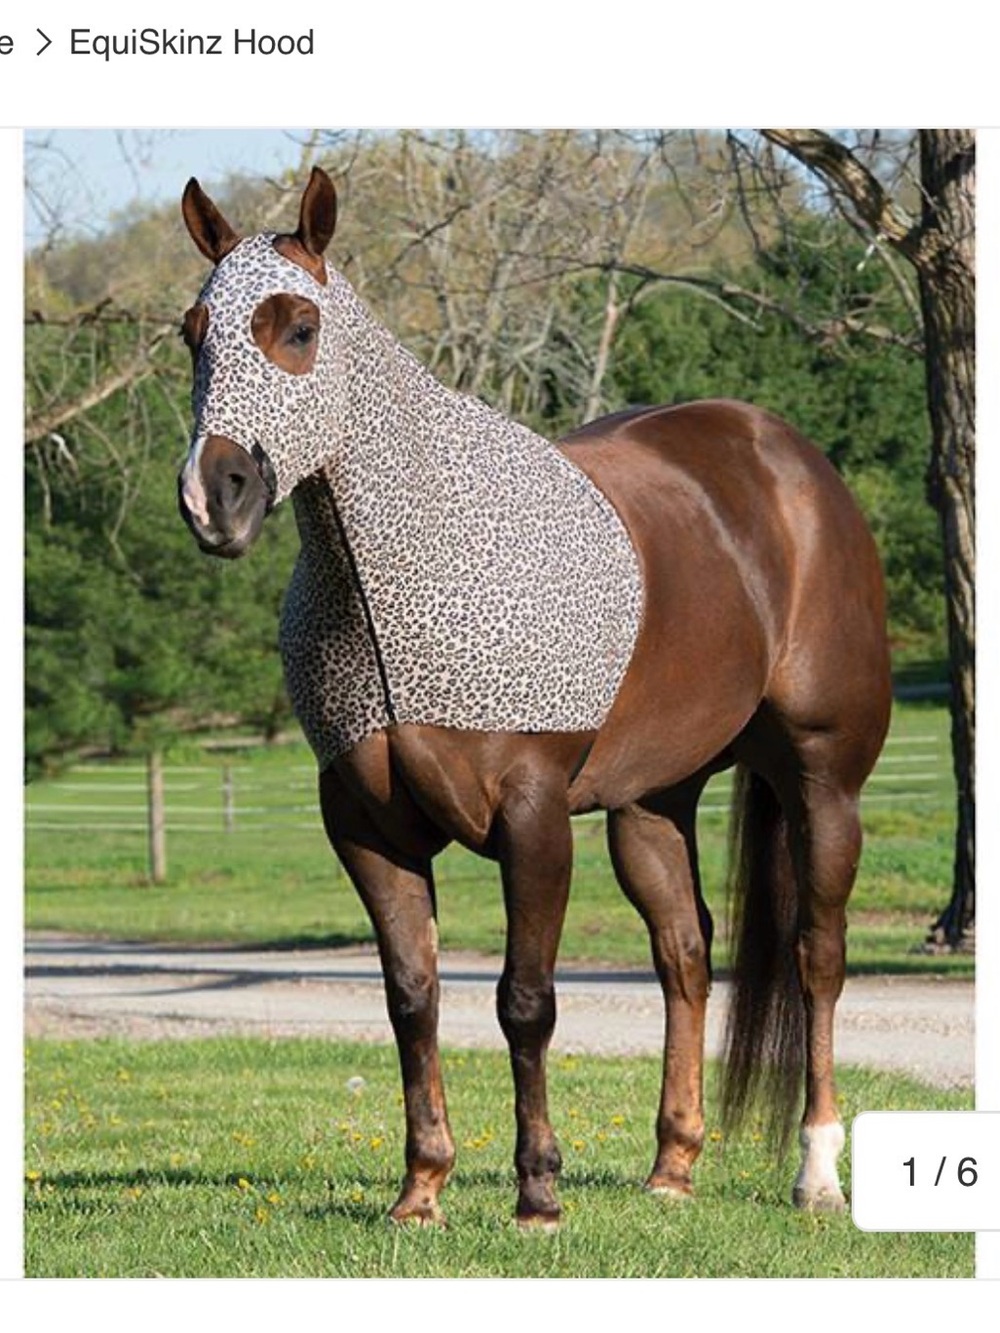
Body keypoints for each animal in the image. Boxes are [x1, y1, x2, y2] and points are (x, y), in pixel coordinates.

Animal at [177, 166, 892, 1229]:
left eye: (298, 327)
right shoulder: (362, 823)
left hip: (821, 781)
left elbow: (525, 999)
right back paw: (673, 1167)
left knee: (817, 954)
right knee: (685, 953)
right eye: (193, 332)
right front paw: (422, 1187)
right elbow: (413, 996)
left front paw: (538, 1191)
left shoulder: (533, 815)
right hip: (651, 805)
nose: (212, 495)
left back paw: (816, 1174)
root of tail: (789, 461)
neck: (404, 569)